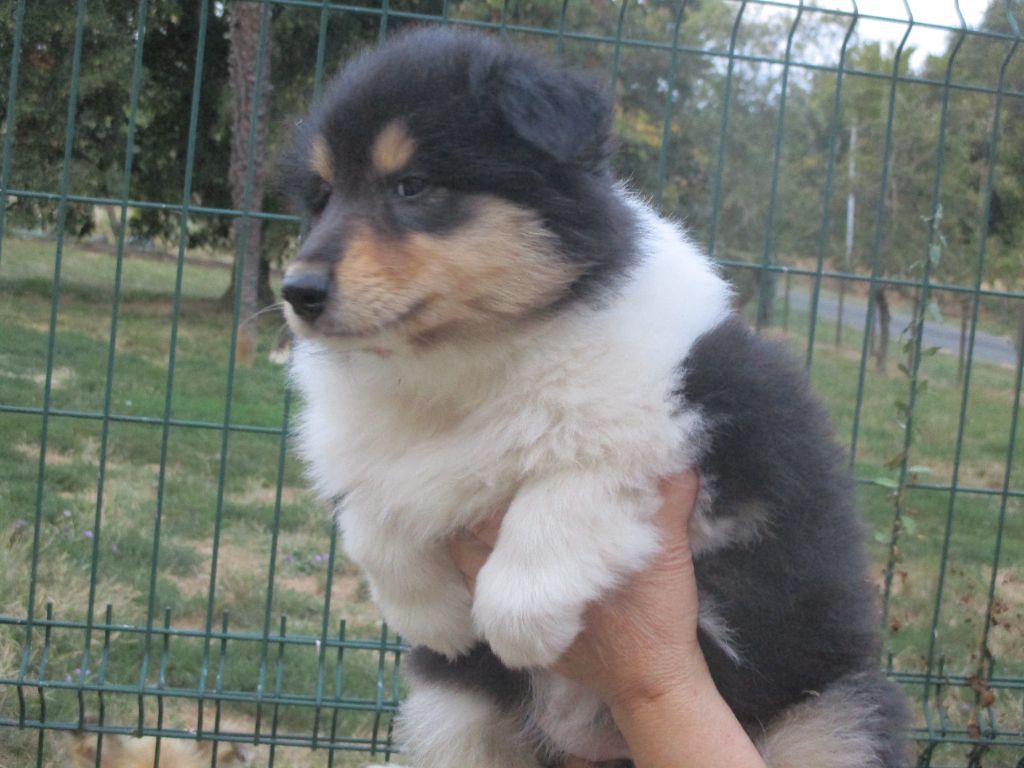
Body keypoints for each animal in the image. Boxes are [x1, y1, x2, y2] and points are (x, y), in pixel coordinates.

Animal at [278, 28, 910, 768]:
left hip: (833, 717)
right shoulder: (372, 448)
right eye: (322, 196)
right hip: (456, 720)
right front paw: (434, 615)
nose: (297, 291)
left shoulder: (695, 411)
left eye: (412, 186)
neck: (465, 359)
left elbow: (572, 478)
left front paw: (518, 616)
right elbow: (373, 509)